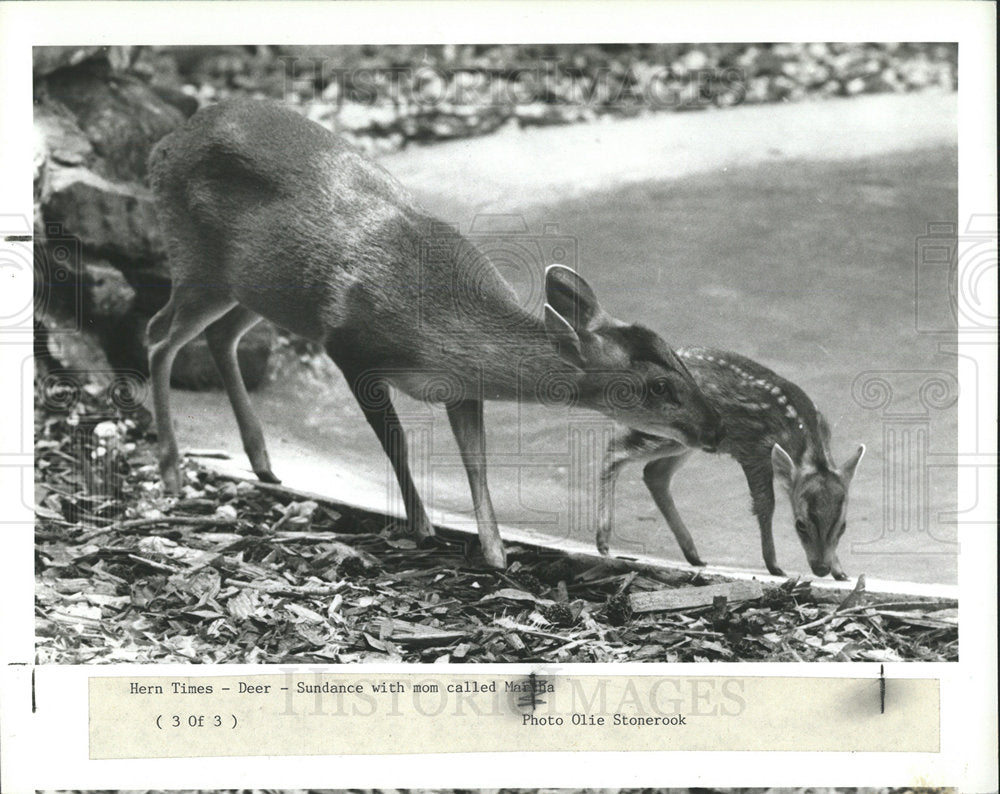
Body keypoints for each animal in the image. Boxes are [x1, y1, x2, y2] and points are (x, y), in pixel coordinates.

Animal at [145, 98, 724, 570]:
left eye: (682, 365)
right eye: (659, 387)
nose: (717, 430)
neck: (442, 326)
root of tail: (169, 141)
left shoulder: (460, 388)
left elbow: (477, 460)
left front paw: (496, 553)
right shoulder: (351, 347)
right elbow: (398, 440)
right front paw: (422, 527)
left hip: (257, 290)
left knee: (220, 337)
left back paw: (263, 463)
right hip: (198, 263)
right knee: (158, 335)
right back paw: (172, 471)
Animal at [597, 347, 865, 579]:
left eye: (843, 526)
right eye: (800, 525)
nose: (821, 568)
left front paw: (840, 571)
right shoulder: (752, 450)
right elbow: (765, 504)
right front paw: (774, 566)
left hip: (689, 441)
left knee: (655, 473)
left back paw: (694, 555)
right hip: (664, 428)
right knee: (615, 451)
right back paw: (603, 541)